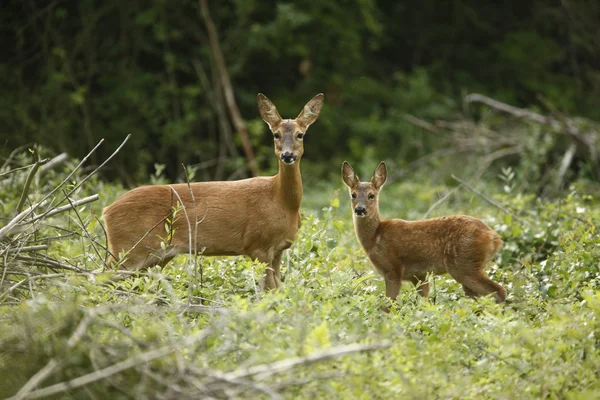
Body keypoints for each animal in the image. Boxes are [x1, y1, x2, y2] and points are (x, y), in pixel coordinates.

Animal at [102, 93, 324, 288]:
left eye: (300, 135)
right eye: (276, 134)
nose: (287, 155)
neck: (280, 201)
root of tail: (106, 210)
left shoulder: (278, 249)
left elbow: (278, 289)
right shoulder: (257, 245)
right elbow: (269, 290)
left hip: (155, 255)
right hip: (128, 248)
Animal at [342, 161, 506, 304]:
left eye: (371, 195)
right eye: (353, 195)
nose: (360, 209)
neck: (375, 236)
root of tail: (495, 237)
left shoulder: (392, 269)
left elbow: (388, 305)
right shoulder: (419, 275)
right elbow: (425, 301)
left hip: (463, 265)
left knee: (498, 291)